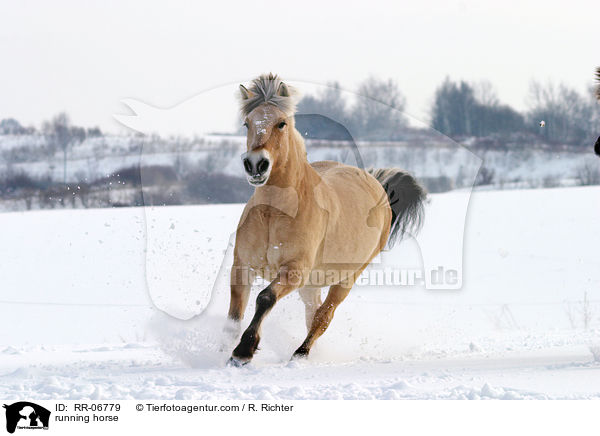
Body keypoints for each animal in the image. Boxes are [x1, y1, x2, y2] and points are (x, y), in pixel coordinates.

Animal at [225, 74, 426, 364]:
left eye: (281, 123)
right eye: (247, 123)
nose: (255, 165)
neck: (274, 213)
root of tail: (375, 183)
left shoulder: (294, 270)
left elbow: (265, 298)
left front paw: (243, 351)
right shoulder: (242, 265)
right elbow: (234, 313)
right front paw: (224, 345)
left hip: (345, 279)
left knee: (323, 317)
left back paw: (300, 354)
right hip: (312, 283)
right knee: (313, 313)